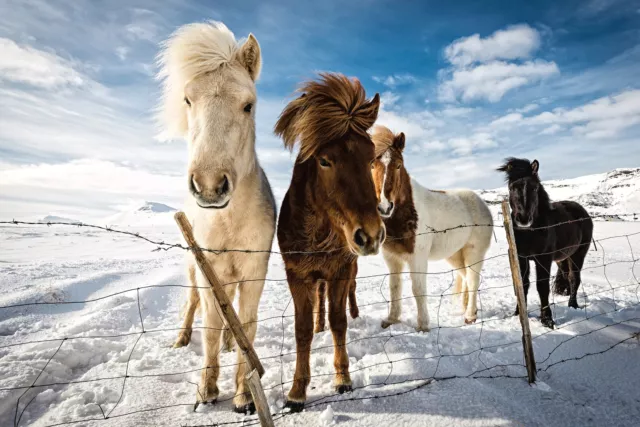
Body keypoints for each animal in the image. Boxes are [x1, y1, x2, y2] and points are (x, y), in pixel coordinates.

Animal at [158, 21, 276, 412]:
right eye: (188, 100)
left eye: (248, 105)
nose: (209, 186)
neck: (229, 221)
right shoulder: (209, 270)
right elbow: (209, 326)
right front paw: (206, 390)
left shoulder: (254, 271)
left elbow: (247, 324)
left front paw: (243, 395)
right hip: (195, 269)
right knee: (193, 303)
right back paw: (181, 339)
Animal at [272, 72, 382, 412]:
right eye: (324, 161)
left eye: (371, 158)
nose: (370, 234)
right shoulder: (297, 275)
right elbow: (303, 330)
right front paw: (296, 392)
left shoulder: (340, 271)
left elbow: (339, 321)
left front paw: (343, 378)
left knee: (350, 297)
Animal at [496, 159, 596, 330]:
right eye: (512, 187)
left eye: (534, 187)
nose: (523, 219)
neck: (531, 232)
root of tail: (583, 212)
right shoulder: (521, 259)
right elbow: (523, 285)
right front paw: (518, 314)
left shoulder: (543, 259)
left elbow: (542, 287)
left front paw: (547, 320)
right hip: (563, 257)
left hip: (578, 255)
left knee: (574, 278)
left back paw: (573, 305)